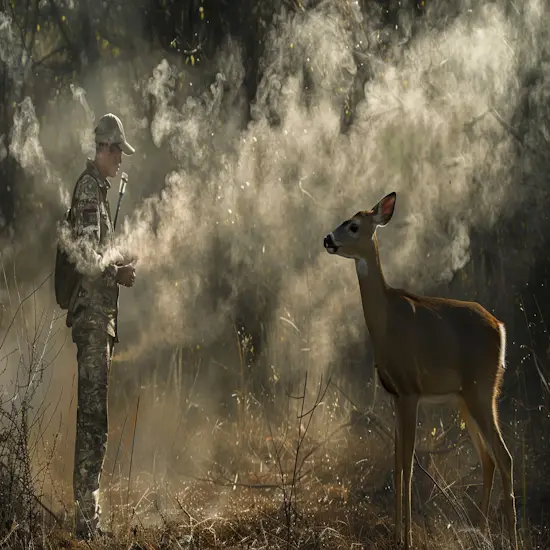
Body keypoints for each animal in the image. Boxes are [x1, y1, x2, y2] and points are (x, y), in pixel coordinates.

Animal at [324, 192, 516, 548]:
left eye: (353, 225)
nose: (327, 239)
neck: (385, 322)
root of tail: (500, 327)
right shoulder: (394, 394)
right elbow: (397, 464)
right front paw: (396, 534)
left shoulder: (411, 390)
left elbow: (409, 465)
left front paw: (408, 537)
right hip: (464, 397)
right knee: (488, 459)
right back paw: (479, 531)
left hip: (482, 388)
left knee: (504, 456)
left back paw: (510, 536)